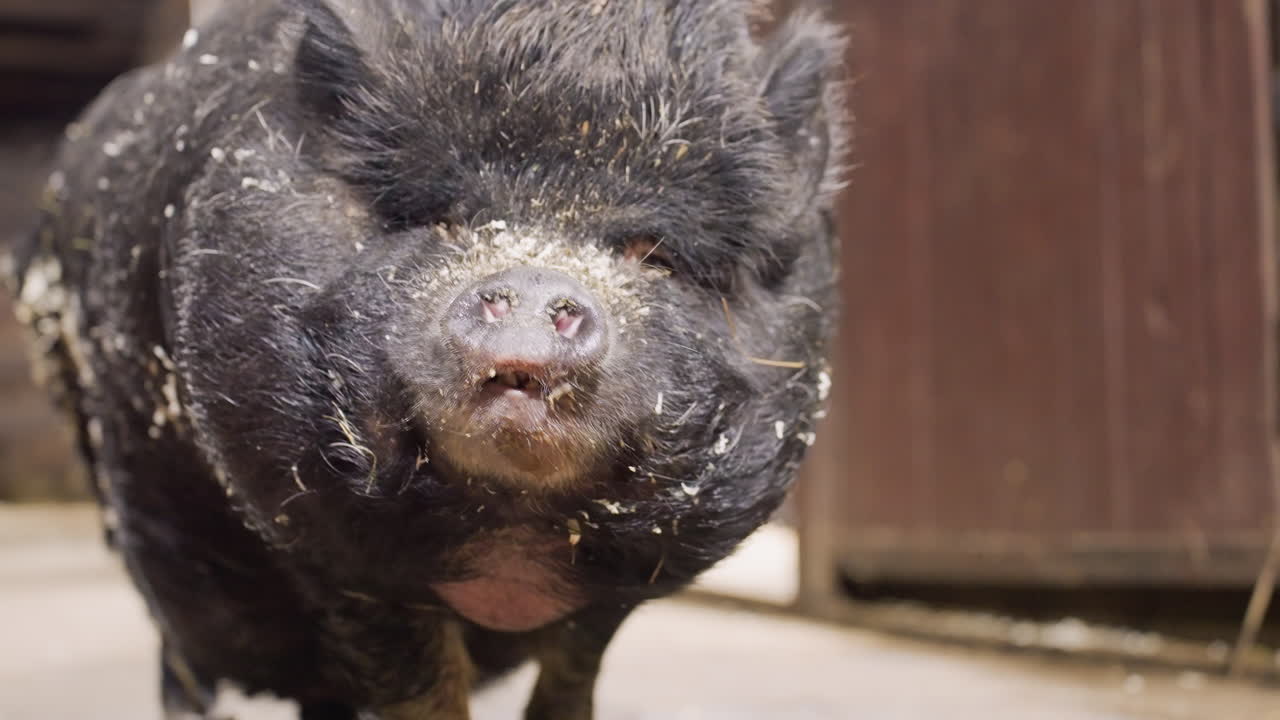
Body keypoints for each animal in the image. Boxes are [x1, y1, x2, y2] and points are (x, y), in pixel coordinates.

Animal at [7, 0, 847, 718]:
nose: (536, 280)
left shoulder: (623, 582)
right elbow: (421, 687)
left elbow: (572, 678)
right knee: (182, 664)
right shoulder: (339, 557)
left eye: (655, 254)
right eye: (442, 218)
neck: (510, 523)